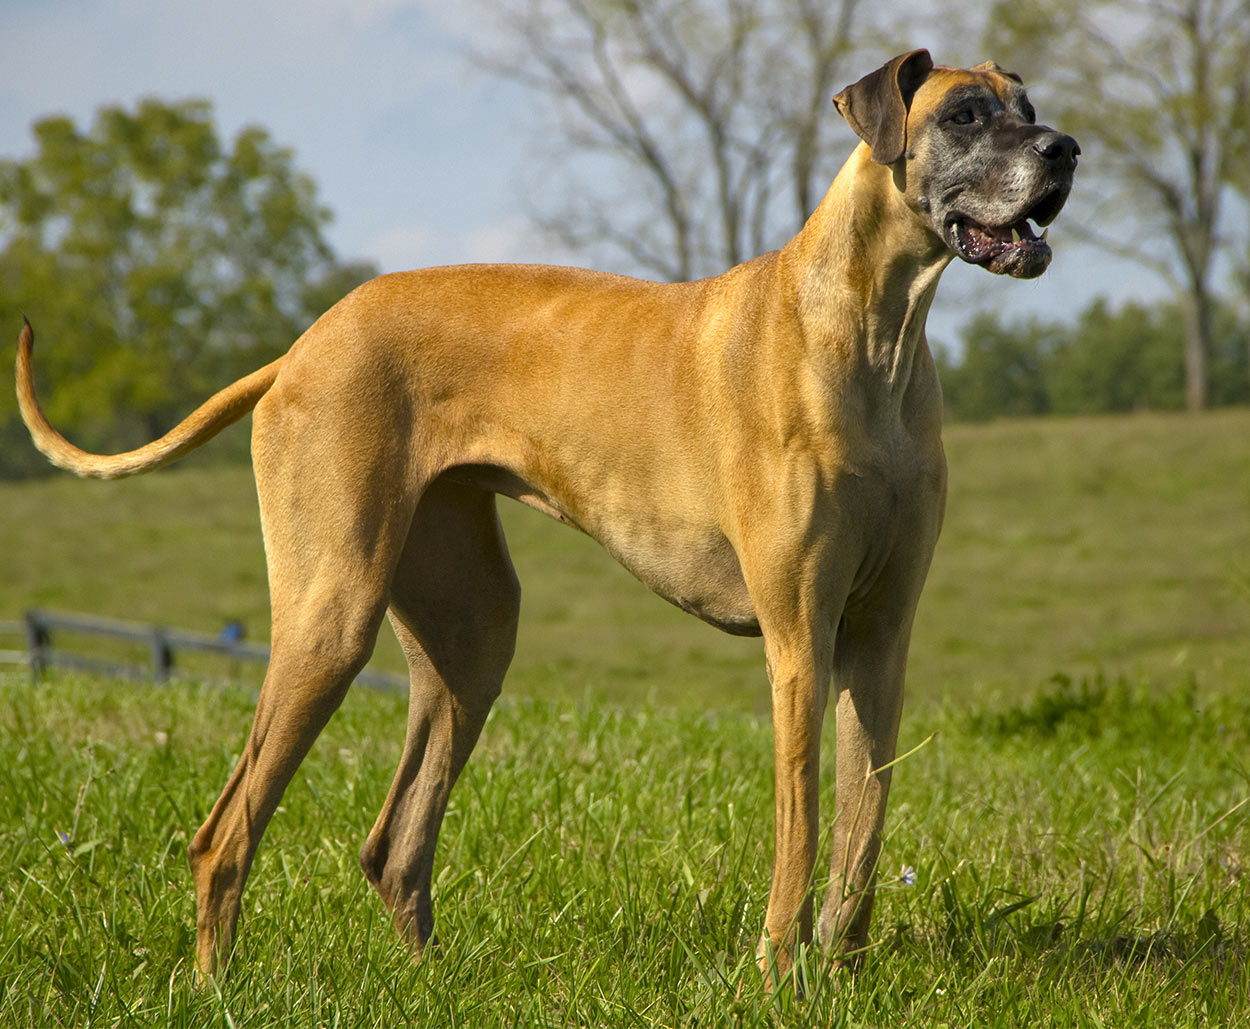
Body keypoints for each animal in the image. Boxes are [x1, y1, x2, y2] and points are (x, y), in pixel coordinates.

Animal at [14, 52, 1075, 985]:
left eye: (1029, 105)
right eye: (963, 116)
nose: (1065, 148)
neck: (872, 333)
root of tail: (302, 345)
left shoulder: (880, 636)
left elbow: (865, 821)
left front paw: (841, 969)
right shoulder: (799, 638)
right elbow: (804, 825)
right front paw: (780, 972)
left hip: (472, 630)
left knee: (394, 844)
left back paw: (430, 983)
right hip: (331, 616)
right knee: (224, 833)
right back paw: (217, 988)